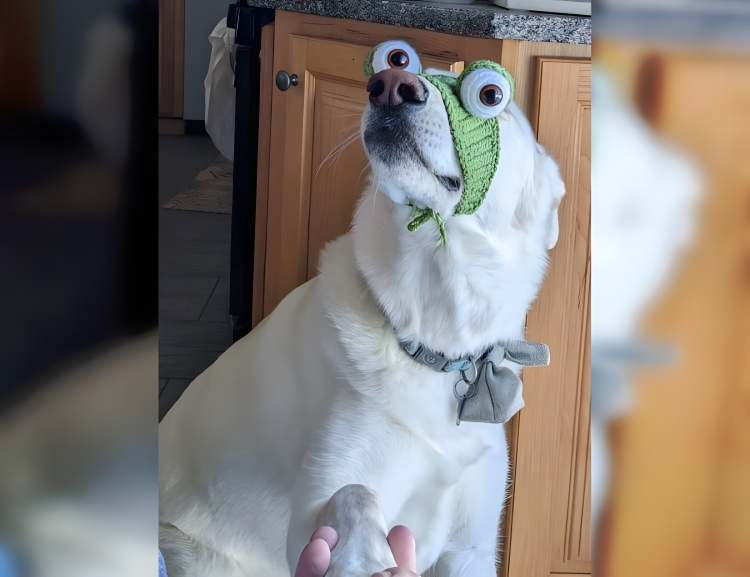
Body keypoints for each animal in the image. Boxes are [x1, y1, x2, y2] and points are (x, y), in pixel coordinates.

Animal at [159, 41, 565, 577]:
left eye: (490, 94)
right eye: (400, 61)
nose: (389, 86)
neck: (434, 340)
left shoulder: (471, 551)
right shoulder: (313, 508)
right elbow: (353, 493)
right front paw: (362, 558)